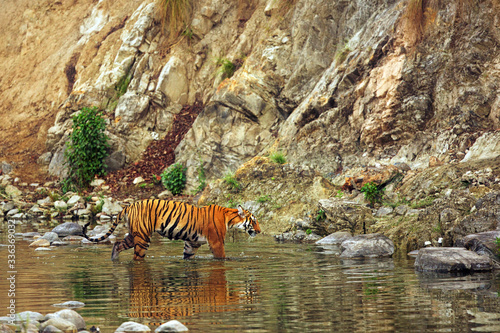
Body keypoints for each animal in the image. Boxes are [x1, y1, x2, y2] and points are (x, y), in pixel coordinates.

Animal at [82, 197, 262, 260]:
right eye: (254, 221)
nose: (260, 231)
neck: (228, 217)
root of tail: (129, 206)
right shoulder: (216, 242)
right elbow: (222, 258)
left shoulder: (192, 243)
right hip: (142, 238)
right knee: (136, 257)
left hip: (134, 235)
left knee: (117, 244)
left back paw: (114, 259)